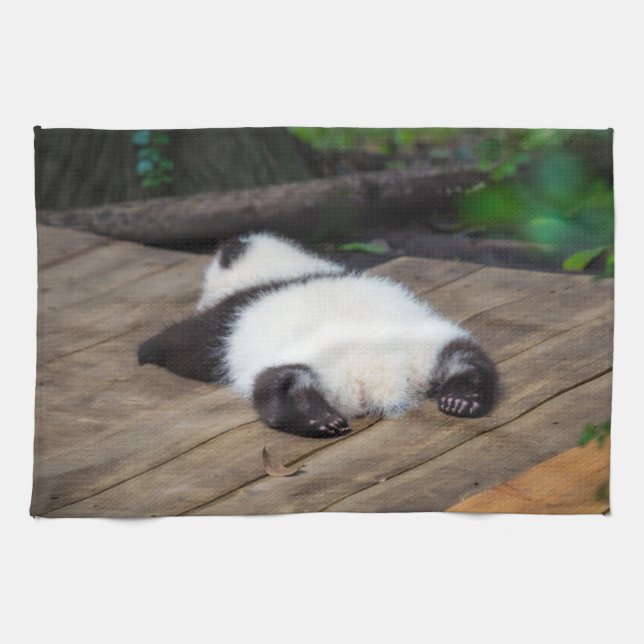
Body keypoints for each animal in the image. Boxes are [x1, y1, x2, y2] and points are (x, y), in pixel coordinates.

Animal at [138, 232, 498, 438]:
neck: (284, 268)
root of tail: (377, 376)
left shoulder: (231, 316)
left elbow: (188, 346)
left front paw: (146, 350)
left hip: (301, 357)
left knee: (276, 383)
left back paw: (315, 418)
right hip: (428, 343)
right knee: (466, 357)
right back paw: (462, 397)